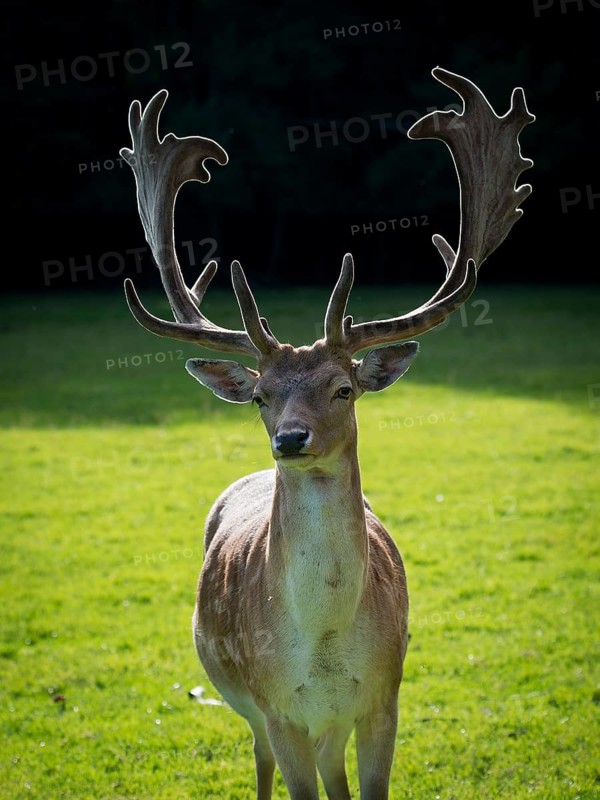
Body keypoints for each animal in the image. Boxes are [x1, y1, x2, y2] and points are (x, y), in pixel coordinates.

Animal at [119, 67, 534, 799]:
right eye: (260, 396)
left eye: (344, 388)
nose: (289, 440)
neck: (325, 645)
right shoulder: (278, 705)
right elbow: (295, 780)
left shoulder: (384, 697)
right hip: (243, 700)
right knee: (260, 758)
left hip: (331, 722)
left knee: (330, 767)